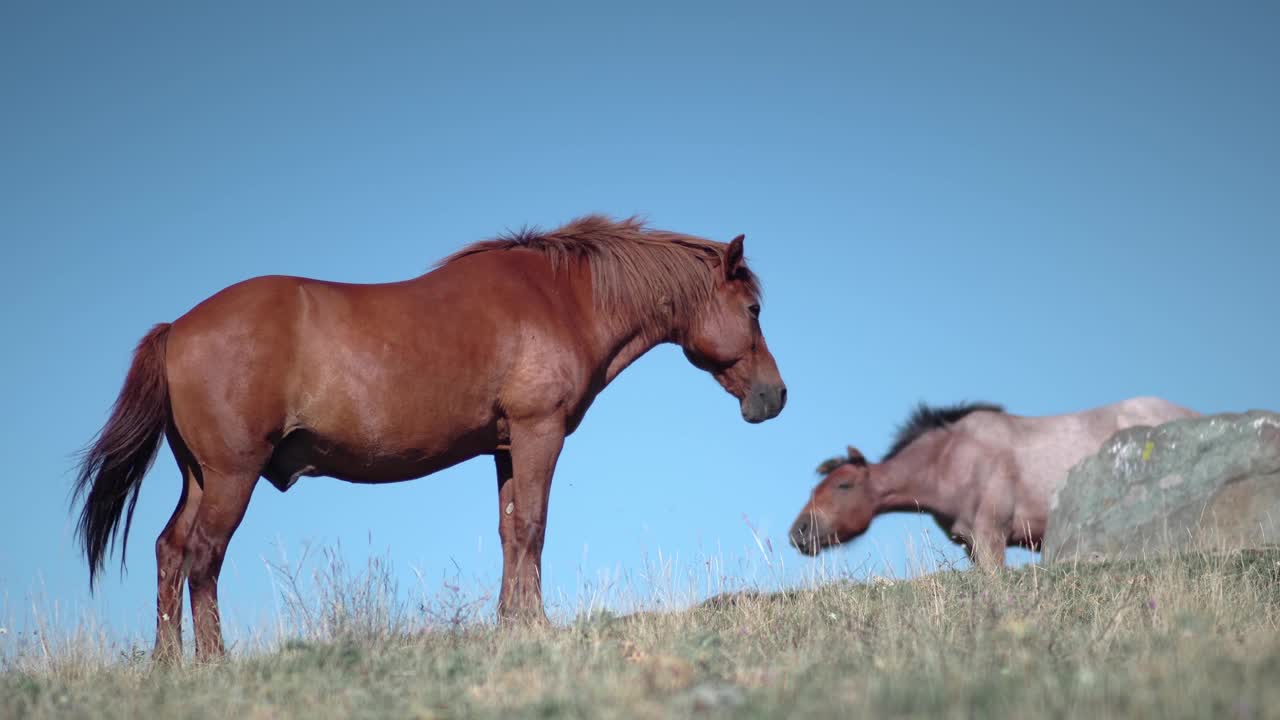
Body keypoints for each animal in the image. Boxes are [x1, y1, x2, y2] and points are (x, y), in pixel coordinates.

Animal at [77, 213, 788, 661]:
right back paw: (212, 660)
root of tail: (179, 327)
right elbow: (534, 525)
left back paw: (168, 663)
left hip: (200, 475)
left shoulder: (505, 446)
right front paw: (534, 624)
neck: (561, 299)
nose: (774, 397)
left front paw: (512, 623)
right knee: (204, 556)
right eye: (753, 309)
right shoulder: (539, 432)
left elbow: (510, 529)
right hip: (232, 474)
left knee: (171, 551)